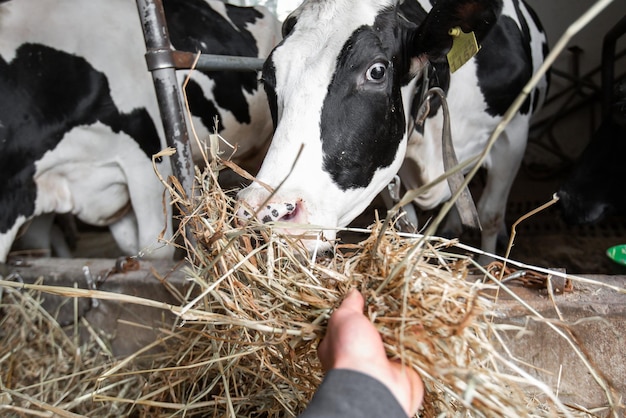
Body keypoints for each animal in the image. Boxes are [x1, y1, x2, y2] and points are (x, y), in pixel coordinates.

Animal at [236, 0, 544, 260]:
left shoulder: (513, 133)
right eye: (268, 76)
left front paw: (487, 269)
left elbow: (491, 215)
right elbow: (404, 221)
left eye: (376, 71)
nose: (263, 212)